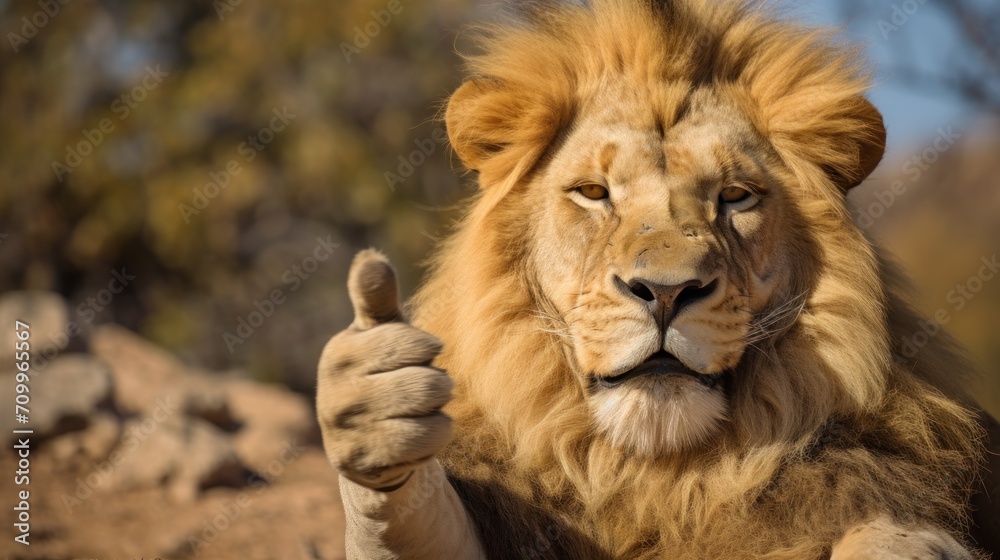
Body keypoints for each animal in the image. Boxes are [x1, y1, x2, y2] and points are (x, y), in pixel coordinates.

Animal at [316, 1, 998, 558]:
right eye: (593, 193)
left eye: (735, 196)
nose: (667, 293)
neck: (662, 480)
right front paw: (377, 405)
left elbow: (884, 535)